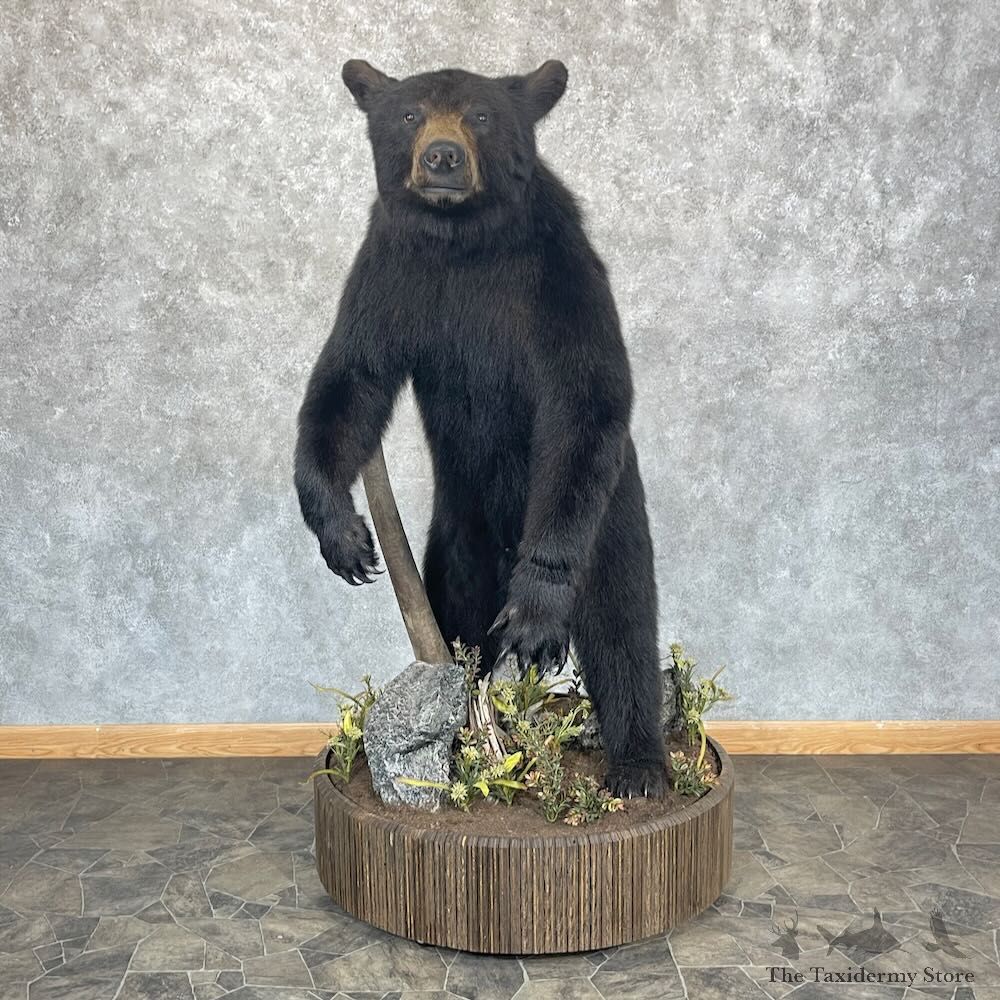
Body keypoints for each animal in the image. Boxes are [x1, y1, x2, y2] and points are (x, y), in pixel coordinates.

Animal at [294, 59, 665, 797]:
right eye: (410, 113)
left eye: (482, 115)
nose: (442, 156)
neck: (462, 245)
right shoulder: (389, 273)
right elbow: (350, 379)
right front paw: (344, 536)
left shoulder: (557, 275)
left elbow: (586, 396)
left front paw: (536, 610)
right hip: (456, 534)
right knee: (455, 614)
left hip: (607, 520)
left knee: (623, 624)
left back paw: (638, 764)